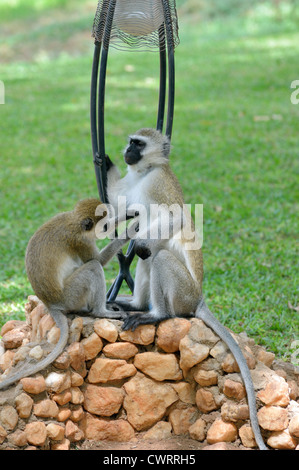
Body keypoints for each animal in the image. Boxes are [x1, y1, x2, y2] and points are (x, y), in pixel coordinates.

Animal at [0, 198, 131, 390]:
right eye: (104, 226)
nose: (106, 230)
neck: (74, 222)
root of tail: (51, 303)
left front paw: (129, 215)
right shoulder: (80, 241)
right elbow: (98, 261)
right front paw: (130, 232)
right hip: (71, 295)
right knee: (93, 267)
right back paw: (101, 311)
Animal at [105, 129, 268, 452]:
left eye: (138, 144)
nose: (127, 151)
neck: (144, 173)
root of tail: (199, 298)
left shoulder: (157, 184)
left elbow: (176, 218)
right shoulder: (131, 183)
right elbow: (120, 203)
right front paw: (105, 162)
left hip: (184, 292)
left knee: (156, 255)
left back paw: (155, 314)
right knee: (148, 257)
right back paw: (137, 305)